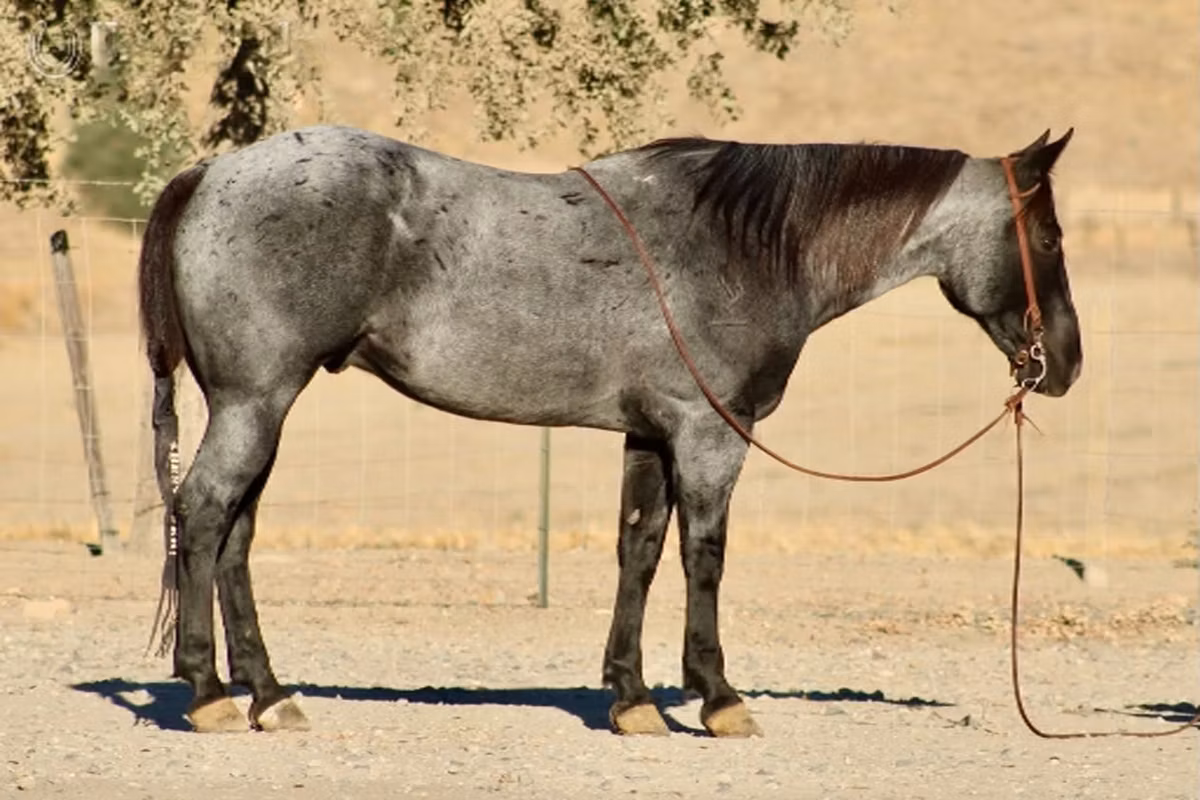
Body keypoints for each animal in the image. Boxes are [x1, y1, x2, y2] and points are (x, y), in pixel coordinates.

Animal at [138, 124, 1081, 736]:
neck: (742, 245)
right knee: (206, 512)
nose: (1065, 362)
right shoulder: (709, 436)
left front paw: (631, 699)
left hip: (260, 408)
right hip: (255, 402)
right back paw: (208, 692)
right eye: (1046, 236)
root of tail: (210, 173)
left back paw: (268, 694)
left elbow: (639, 550)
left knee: (234, 533)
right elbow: (704, 557)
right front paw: (718, 696)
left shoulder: (652, 438)